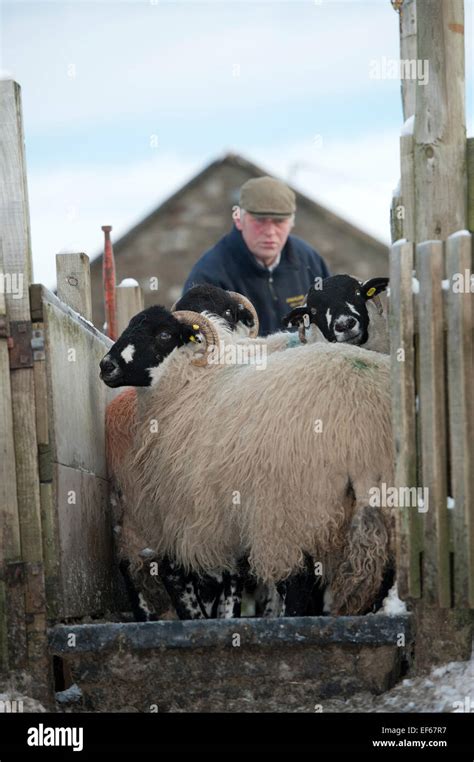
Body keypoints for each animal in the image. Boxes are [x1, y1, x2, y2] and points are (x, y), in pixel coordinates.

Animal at [101, 306, 396, 616]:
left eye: (164, 335)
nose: (106, 366)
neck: (192, 383)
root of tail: (359, 438)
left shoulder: (192, 514)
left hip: (291, 510)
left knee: (298, 582)